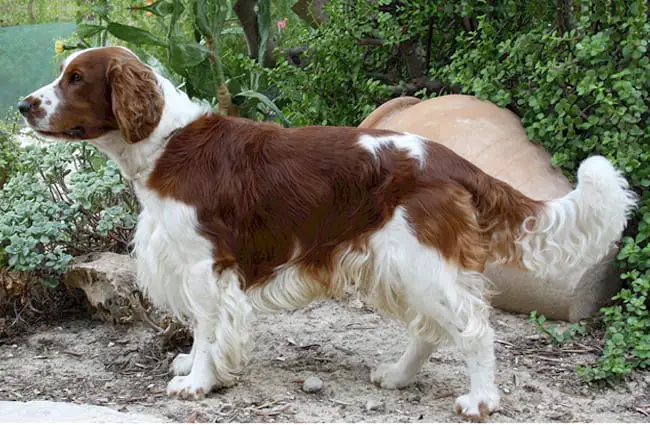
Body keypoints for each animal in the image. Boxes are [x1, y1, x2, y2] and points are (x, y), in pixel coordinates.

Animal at [19, 46, 632, 420]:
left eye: (76, 78)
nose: (24, 105)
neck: (167, 143)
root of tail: (453, 160)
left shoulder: (203, 265)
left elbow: (207, 328)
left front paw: (197, 381)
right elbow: (203, 331)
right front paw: (198, 368)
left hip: (420, 261)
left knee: (473, 329)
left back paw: (479, 400)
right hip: (402, 265)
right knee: (433, 329)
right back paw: (398, 377)